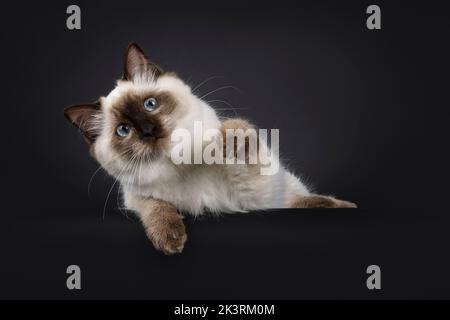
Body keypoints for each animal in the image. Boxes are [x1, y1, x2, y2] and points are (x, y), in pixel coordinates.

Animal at [65, 43, 356, 255]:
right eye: (124, 130)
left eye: (150, 104)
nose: (149, 130)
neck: (178, 165)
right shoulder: (136, 196)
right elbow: (156, 208)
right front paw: (170, 239)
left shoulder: (252, 195)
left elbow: (238, 136)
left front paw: (225, 138)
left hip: (287, 190)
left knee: (306, 200)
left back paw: (343, 205)